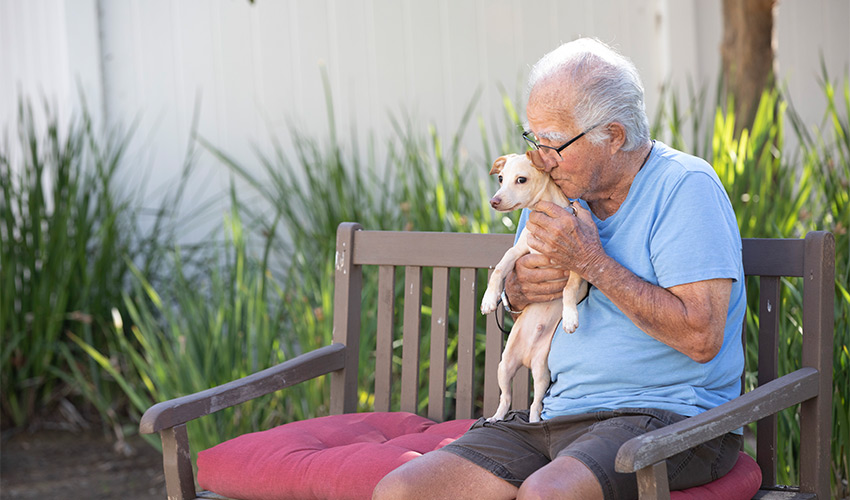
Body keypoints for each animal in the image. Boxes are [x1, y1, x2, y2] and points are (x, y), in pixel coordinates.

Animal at [480, 151, 588, 422]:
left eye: (521, 180)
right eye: (500, 178)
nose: (493, 201)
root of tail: (526, 359)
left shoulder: (577, 263)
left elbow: (568, 289)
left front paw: (570, 318)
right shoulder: (517, 253)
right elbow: (499, 270)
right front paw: (488, 300)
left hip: (542, 373)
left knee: (536, 404)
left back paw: (534, 422)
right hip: (504, 366)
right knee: (505, 398)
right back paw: (496, 417)